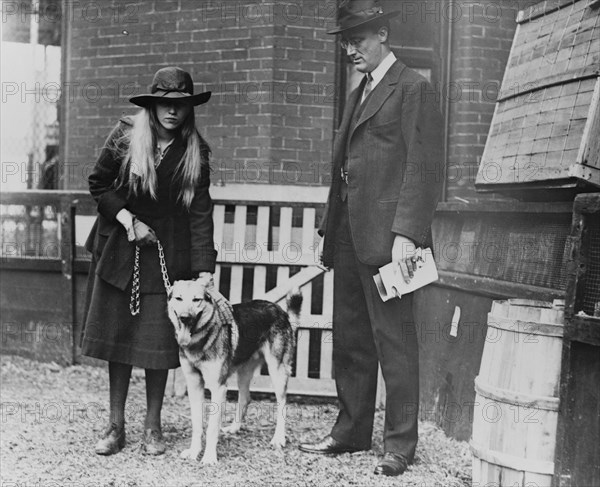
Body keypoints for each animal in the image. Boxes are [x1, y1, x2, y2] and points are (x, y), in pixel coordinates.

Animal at [168, 278, 300, 466]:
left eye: (196, 300)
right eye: (178, 298)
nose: (185, 318)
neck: (200, 342)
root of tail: (280, 310)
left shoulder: (218, 388)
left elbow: (211, 428)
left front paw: (209, 457)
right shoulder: (194, 386)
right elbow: (197, 425)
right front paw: (194, 452)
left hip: (277, 372)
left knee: (282, 403)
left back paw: (278, 438)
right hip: (243, 373)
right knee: (245, 398)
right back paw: (234, 428)